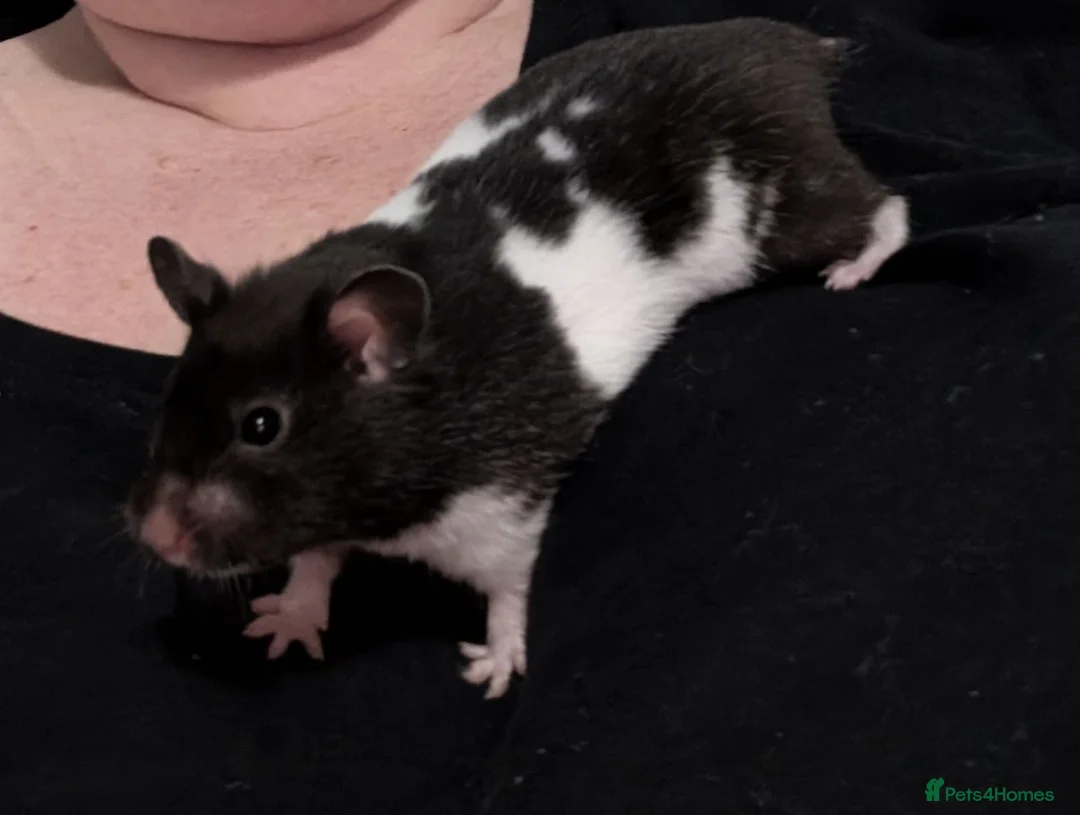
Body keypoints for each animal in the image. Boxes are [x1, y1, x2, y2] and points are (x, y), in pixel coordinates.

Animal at [125, 18, 909, 699]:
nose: (155, 540)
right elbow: (315, 561)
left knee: (885, 209)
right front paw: (284, 626)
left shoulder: (506, 500)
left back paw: (853, 271)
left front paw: (494, 669)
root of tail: (801, 50)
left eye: (261, 426)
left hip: (786, 203)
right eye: (168, 408)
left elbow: (508, 582)